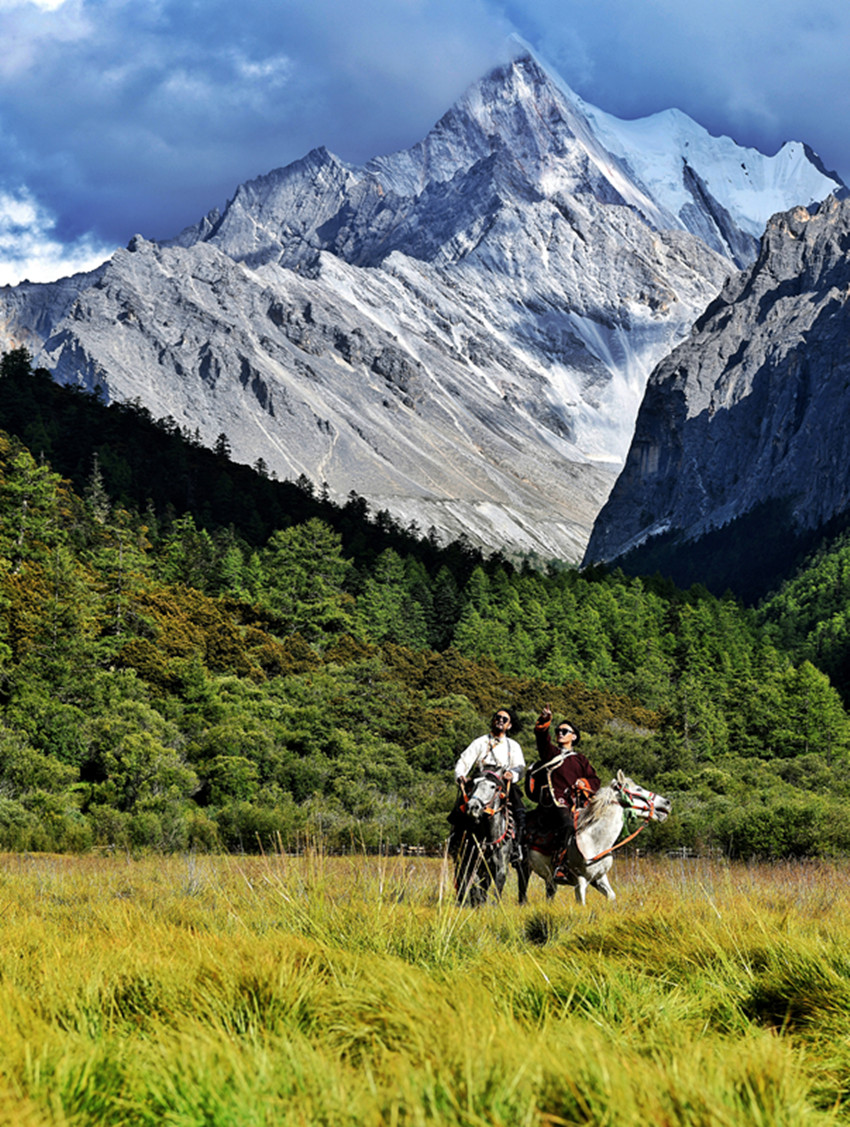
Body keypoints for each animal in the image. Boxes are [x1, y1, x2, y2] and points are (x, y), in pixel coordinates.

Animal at [452, 765, 515, 907]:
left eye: (493, 786)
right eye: (473, 784)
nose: (472, 807)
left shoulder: (500, 867)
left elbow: (496, 889)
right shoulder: (471, 864)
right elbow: (474, 887)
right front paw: (477, 904)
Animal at [517, 770, 672, 906]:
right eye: (639, 789)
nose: (667, 802)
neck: (595, 840)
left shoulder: (599, 878)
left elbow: (611, 896)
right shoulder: (580, 881)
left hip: (549, 878)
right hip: (523, 868)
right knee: (522, 893)